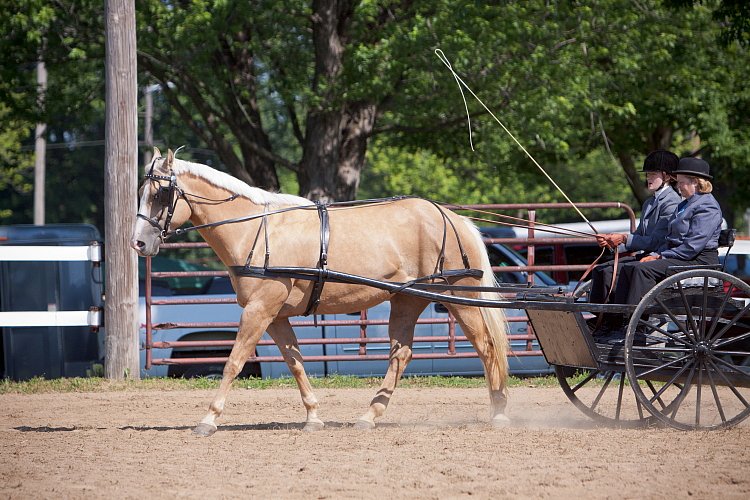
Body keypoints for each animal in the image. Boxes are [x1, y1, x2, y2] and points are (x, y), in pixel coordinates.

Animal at [134, 146, 512, 436]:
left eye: (160, 194)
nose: (138, 243)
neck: (257, 230)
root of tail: (452, 218)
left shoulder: (258, 310)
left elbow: (233, 362)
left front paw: (208, 419)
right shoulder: (275, 316)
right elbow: (296, 363)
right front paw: (313, 417)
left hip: (460, 297)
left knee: (486, 347)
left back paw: (500, 412)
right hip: (408, 299)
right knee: (400, 354)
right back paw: (369, 416)